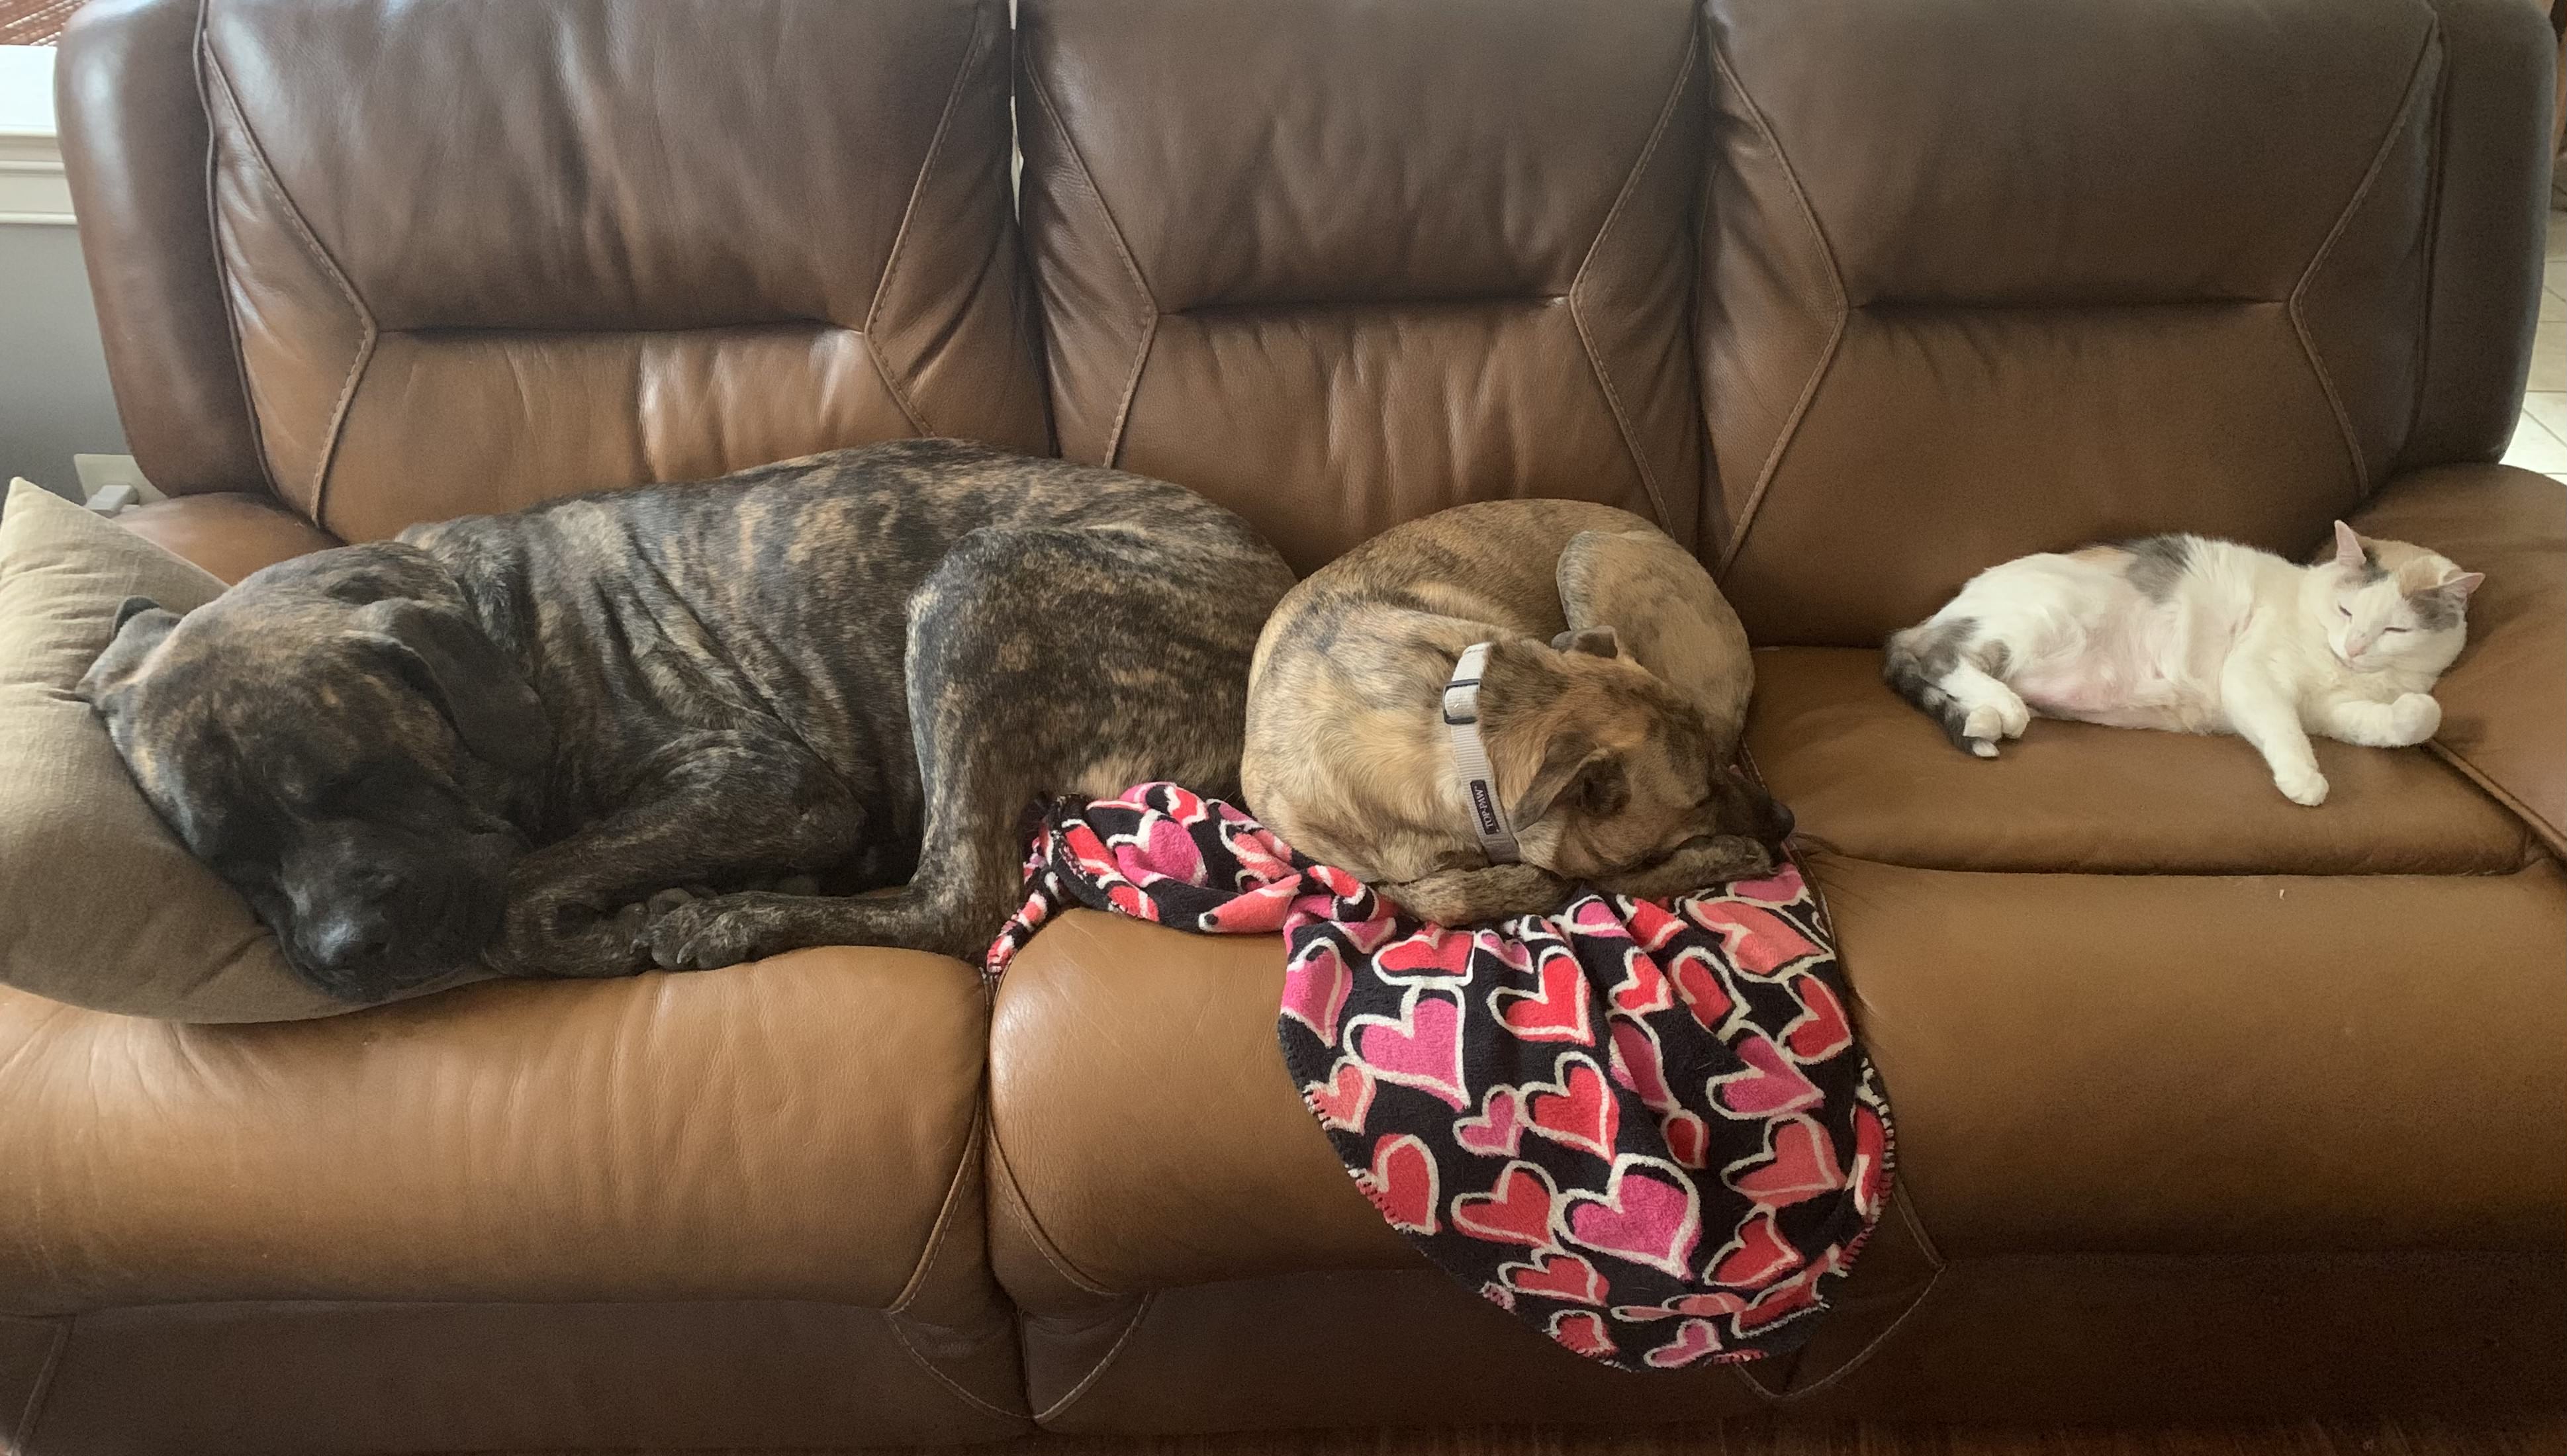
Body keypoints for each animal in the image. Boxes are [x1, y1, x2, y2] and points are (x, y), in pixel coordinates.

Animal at [1899, 521, 2474, 811]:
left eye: (2395, 631)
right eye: (2346, 611)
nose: (2353, 647)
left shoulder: (2333, 711)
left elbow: (2408, 720)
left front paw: (2414, 712)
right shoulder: (2252, 677)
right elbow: (2283, 728)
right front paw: (2304, 780)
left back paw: (1984, 718)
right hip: (2041, 620)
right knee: (1940, 658)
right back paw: (2003, 709)